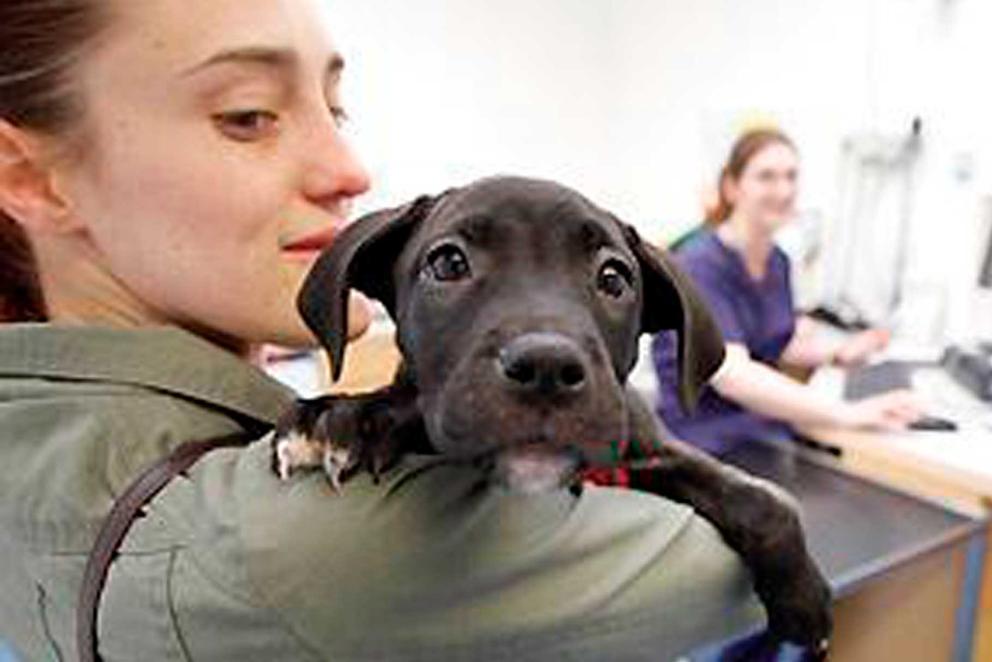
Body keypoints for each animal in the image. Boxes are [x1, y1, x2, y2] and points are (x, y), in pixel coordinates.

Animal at [270, 178, 828, 660]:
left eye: (613, 278)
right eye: (448, 263)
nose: (547, 368)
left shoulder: (653, 455)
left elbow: (759, 496)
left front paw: (804, 598)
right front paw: (347, 415)